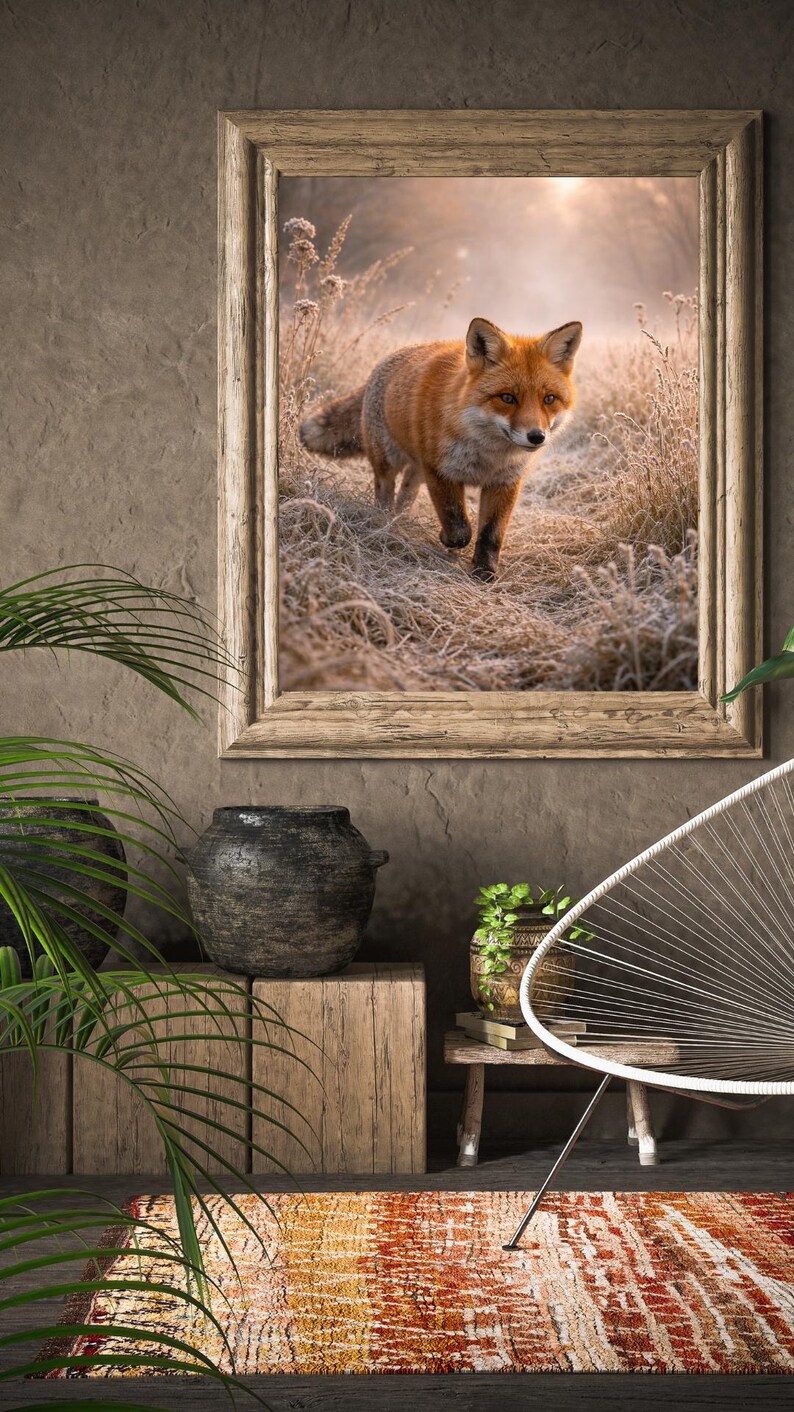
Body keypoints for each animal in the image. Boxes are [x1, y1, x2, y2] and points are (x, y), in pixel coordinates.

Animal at [300, 316, 582, 579]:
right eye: (507, 398)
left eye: (549, 399)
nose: (536, 436)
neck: (488, 456)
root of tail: (386, 359)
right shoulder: (440, 471)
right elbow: (459, 527)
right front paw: (448, 541)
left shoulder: (505, 482)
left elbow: (491, 534)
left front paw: (484, 572)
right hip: (389, 461)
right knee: (384, 489)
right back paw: (383, 521)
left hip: (417, 470)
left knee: (407, 492)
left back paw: (401, 519)